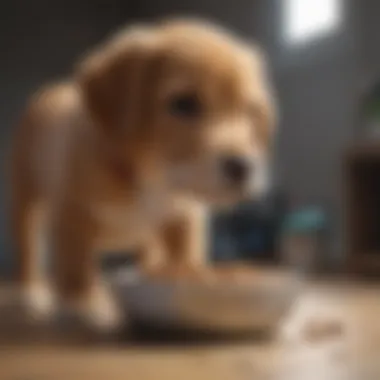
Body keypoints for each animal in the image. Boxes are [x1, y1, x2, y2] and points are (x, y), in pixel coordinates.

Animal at [9, 19, 276, 332]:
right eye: (184, 103)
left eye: (250, 111)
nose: (243, 166)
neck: (153, 178)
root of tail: (54, 89)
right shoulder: (71, 214)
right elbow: (75, 268)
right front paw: (82, 305)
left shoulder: (185, 218)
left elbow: (185, 255)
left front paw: (190, 274)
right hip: (26, 199)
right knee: (29, 249)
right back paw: (29, 293)